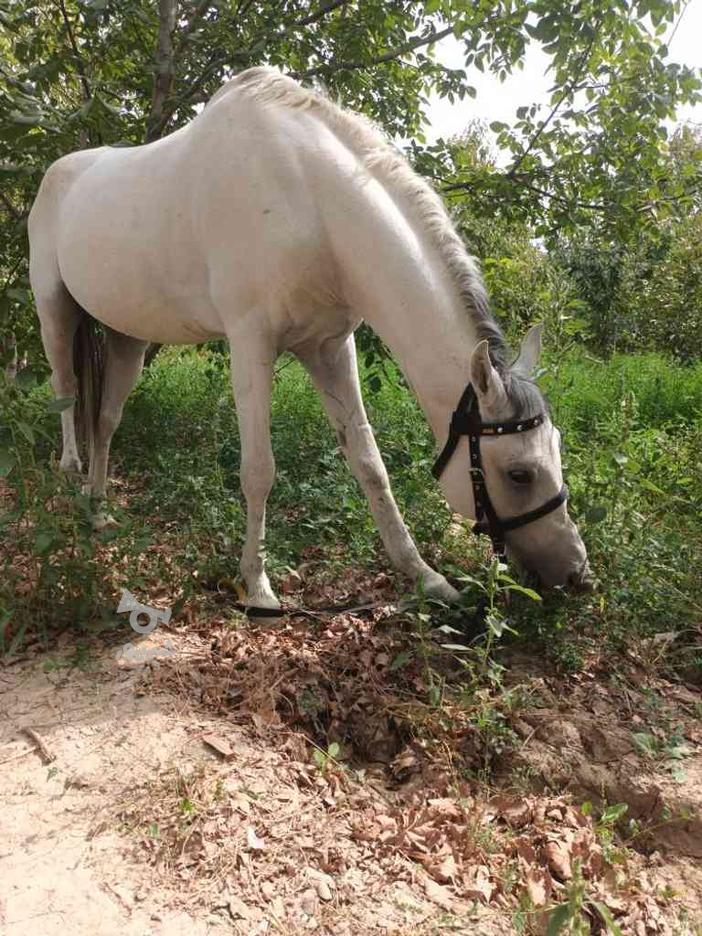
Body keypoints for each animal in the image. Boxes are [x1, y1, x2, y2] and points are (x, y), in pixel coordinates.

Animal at [27, 69, 592, 616]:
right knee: (65, 393)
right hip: (54, 311)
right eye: (519, 474)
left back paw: (98, 511)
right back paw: (71, 477)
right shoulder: (251, 344)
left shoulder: (329, 348)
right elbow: (259, 470)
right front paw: (256, 587)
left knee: (105, 420)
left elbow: (370, 464)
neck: (310, 202)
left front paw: (425, 576)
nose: (575, 575)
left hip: (127, 336)